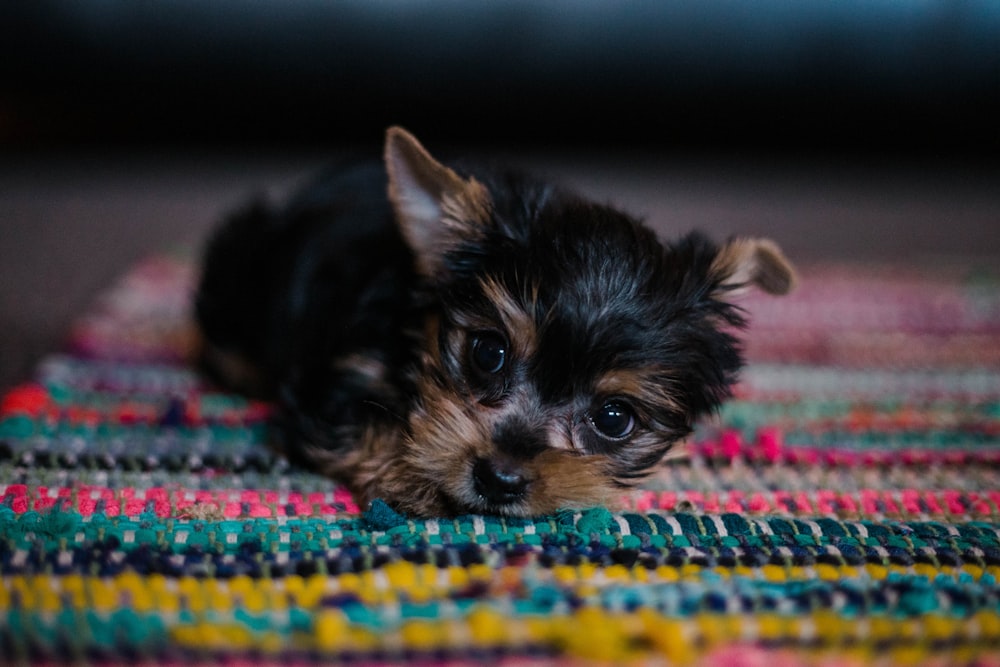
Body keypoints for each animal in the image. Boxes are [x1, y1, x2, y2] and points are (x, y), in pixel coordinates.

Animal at [193, 128, 796, 520]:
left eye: (614, 418)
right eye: (488, 353)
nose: (498, 479)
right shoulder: (331, 376)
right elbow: (358, 417)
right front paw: (414, 475)